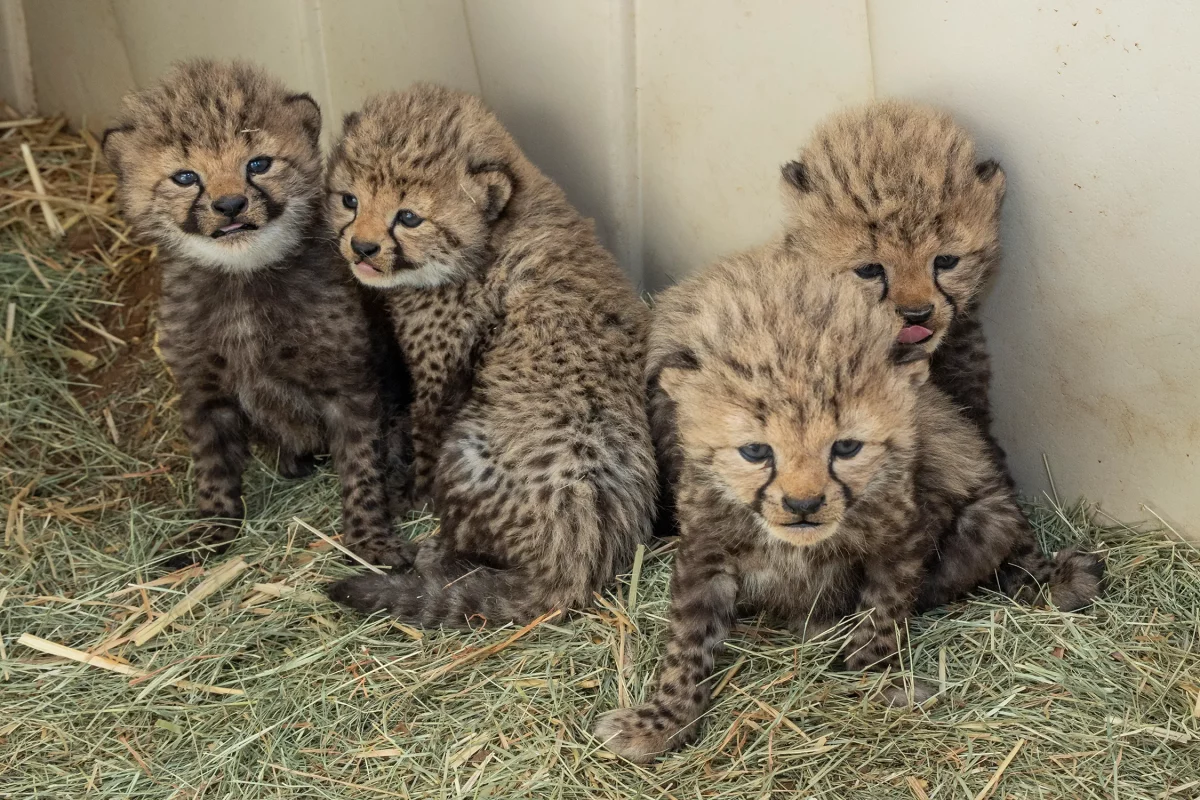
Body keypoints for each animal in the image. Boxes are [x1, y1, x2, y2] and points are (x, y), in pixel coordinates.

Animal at [102, 59, 410, 567]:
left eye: (258, 164)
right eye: (185, 177)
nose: (230, 205)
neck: (241, 280)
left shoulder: (349, 388)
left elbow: (362, 468)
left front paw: (370, 541)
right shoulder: (204, 392)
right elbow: (212, 468)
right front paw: (209, 532)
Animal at [323, 84, 657, 626]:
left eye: (408, 217)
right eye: (349, 200)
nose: (362, 248)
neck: (493, 235)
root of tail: (577, 562)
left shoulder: (439, 378)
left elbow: (425, 438)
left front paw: (410, 495)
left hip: (468, 453)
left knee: (459, 541)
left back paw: (429, 553)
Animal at [595, 248, 1103, 762]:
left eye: (846, 447)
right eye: (756, 451)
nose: (803, 503)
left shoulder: (902, 539)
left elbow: (884, 615)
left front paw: (874, 676)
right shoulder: (705, 551)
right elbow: (689, 644)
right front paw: (664, 718)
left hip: (988, 519)